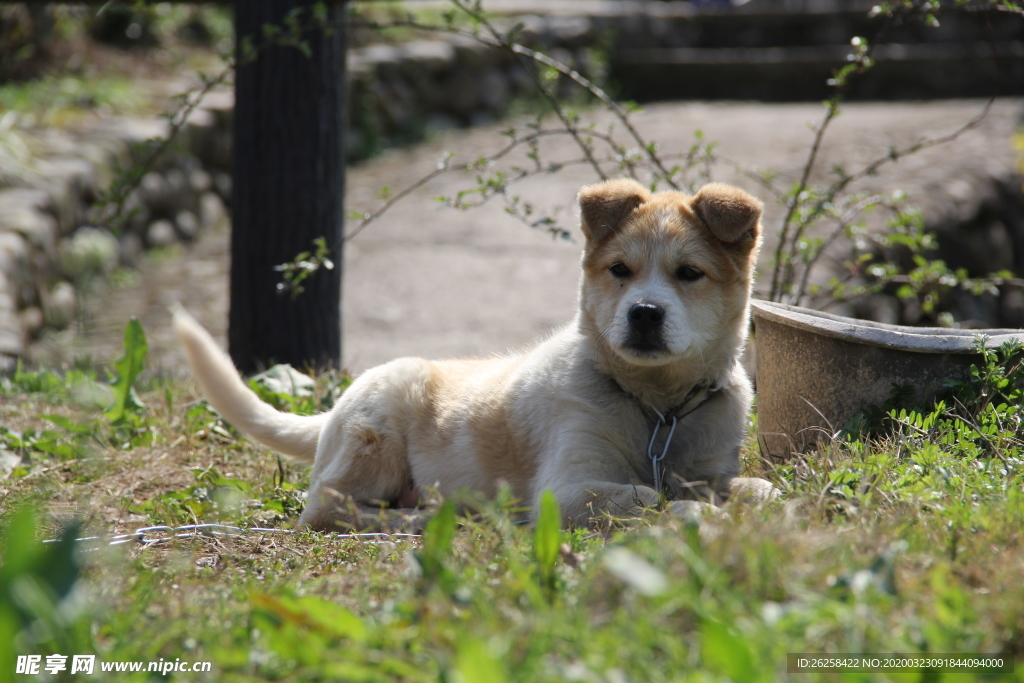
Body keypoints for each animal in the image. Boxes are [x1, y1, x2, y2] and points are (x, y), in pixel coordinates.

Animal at [172, 178, 770, 528]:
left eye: (689, 273)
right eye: (620, 269)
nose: (644, 314)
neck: (657, 408)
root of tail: (332, 412)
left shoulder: (714, 466)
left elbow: (755, 487)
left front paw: (721, 501)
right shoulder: (565, 489)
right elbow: (648, 496)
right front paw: (689, 509)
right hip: (376, 434)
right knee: (328, 507)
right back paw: (419, 520)